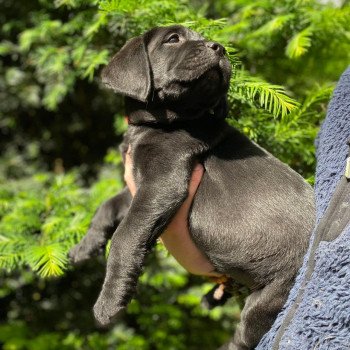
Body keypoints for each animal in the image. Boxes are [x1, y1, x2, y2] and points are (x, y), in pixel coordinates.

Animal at [69, 25, 316, 350]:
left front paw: (109, 301)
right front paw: (85, 246)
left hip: (273, 295)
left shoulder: (163, 182)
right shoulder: (138, 185)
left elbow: (126, 236)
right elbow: (107, 206)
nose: (220, 47)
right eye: (173, 39)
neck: (157, 125)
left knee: (246, 335)